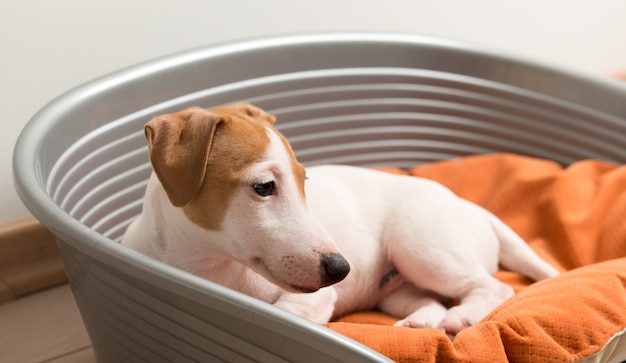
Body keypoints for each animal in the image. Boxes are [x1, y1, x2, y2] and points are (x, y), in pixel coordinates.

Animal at [120, 102, 556, 336]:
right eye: (264, 186)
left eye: (304, 182)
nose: (341, 269)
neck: (209, 264)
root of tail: (470, 207)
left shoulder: (314, 297)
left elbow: (286, 313)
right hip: (397, 288)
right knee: (429, 299)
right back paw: (420, 324)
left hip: (423, 249)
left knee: (493, 287)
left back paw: (460, 316)